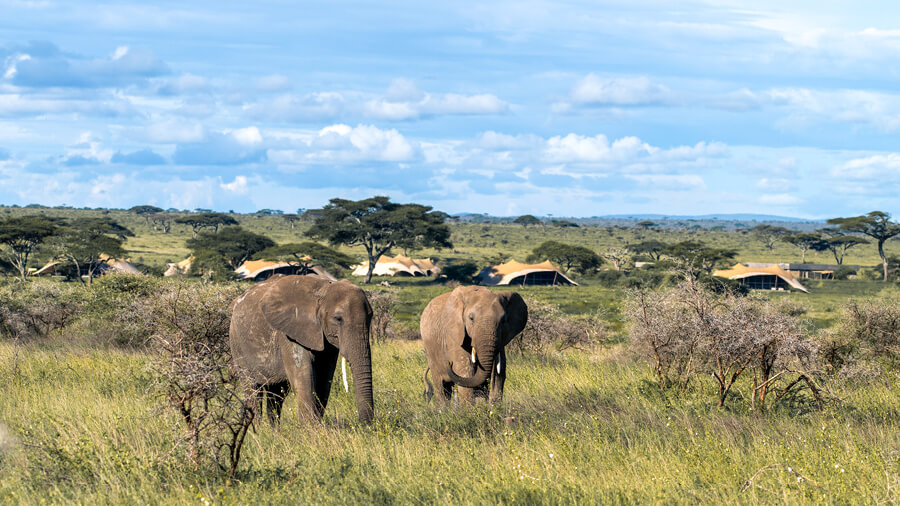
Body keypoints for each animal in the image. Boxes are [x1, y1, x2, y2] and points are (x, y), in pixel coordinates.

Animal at [229, 274, 374, 423]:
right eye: (338, 319)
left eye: (371, 316)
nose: (365, 424)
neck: (324, 289)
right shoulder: (289, 333)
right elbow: (303, 378)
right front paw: (311, 427)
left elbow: (324, 379)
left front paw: (317, 425)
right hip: (237, 344)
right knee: (252, 388)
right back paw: (257, 428)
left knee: (276, 393)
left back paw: (272, 429)